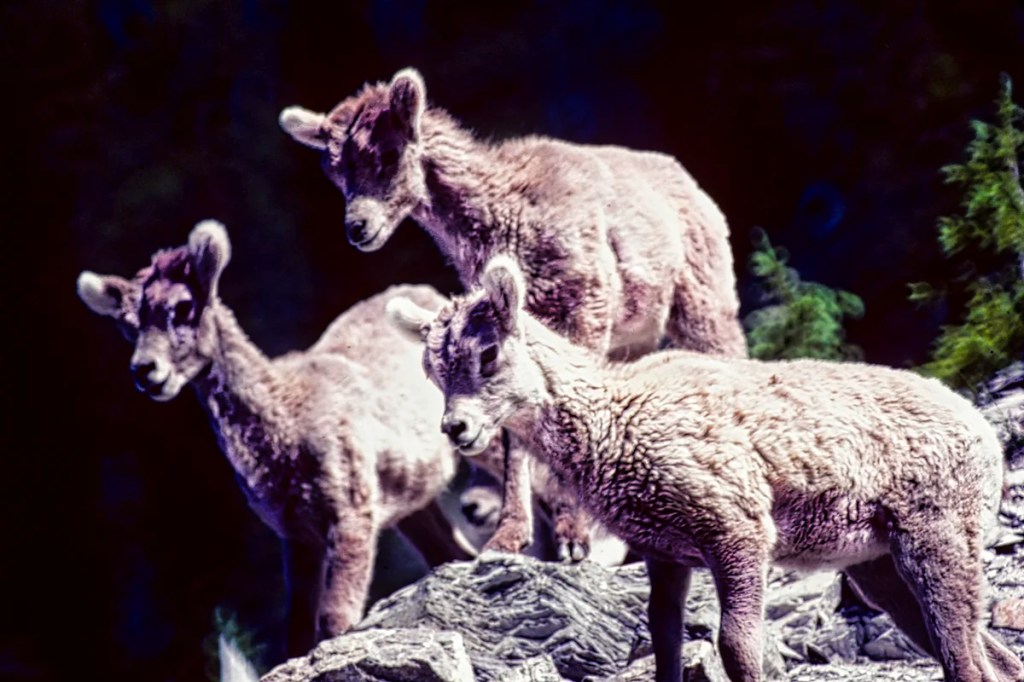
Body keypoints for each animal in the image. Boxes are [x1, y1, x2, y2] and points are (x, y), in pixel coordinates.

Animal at [77, 220, 484, 658]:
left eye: (184, 307)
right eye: (127, 324)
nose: (145, 371)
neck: (286, 432)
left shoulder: (351, 516)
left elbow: (334, 620)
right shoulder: (298, 535)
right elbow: (298, 629)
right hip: (415, 506)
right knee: (456, 553)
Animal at [280, 67, 747, 560]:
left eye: (388, 153)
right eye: (336, 170)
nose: (358, 228)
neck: (507, 217)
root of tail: (693, 189)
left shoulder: (583, 312)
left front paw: (572, 540)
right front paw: (509, 539)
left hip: (701, 304)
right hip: (635, 337)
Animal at [389, 256, 1024, 682]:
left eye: (488, 352)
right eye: (433, 370)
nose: (458, 429)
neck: (612, 419)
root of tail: (982, 435)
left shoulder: (737, 531)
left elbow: (736, 645)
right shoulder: (666, 553)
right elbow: (665, 639)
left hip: (935, 538)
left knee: (966, 658)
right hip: (880, 569)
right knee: (990, 654)